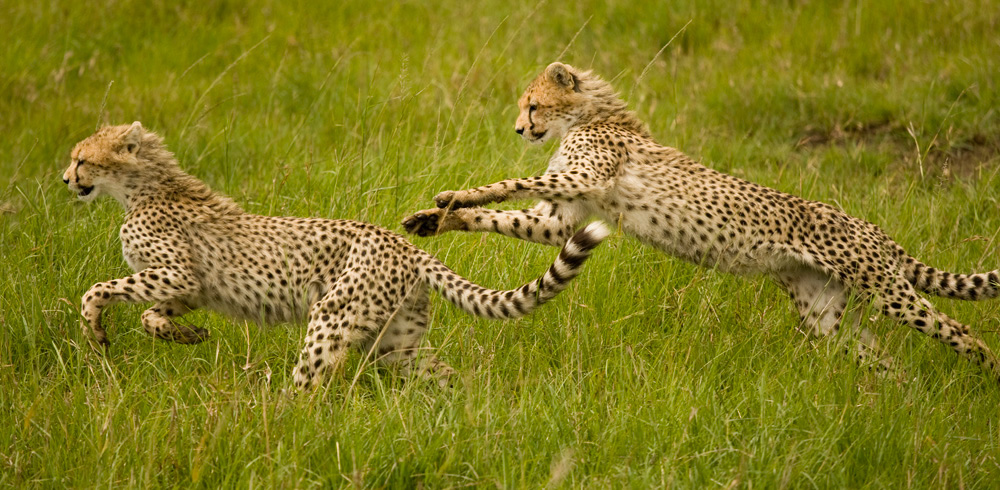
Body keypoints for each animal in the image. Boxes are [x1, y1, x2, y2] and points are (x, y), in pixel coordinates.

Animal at [64, 121, 610, 390]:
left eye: (81, 158)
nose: (66, 179)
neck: (140, 189)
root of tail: (405, 244)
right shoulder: (192, 288)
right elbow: (152, 317)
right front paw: (187, 334)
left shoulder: (178, 274)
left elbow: (98, 291)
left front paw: (96, 331)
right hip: (395, 344)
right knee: (445, 374)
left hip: (333, 314)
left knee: (308, 385)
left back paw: (281, 424)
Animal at [403, 62, 1000, 381]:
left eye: (533, 105)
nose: (519, 130)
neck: (591, 117)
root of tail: (871, 227)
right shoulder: (561, 217)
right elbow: (503, 216)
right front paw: (435, 220)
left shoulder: (580, 181)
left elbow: (509, 182)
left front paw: (453, 195)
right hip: (825, 314)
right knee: (883, 360)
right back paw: (895, 403)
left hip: (885, 288)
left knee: (959, 330)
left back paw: (983, 375)